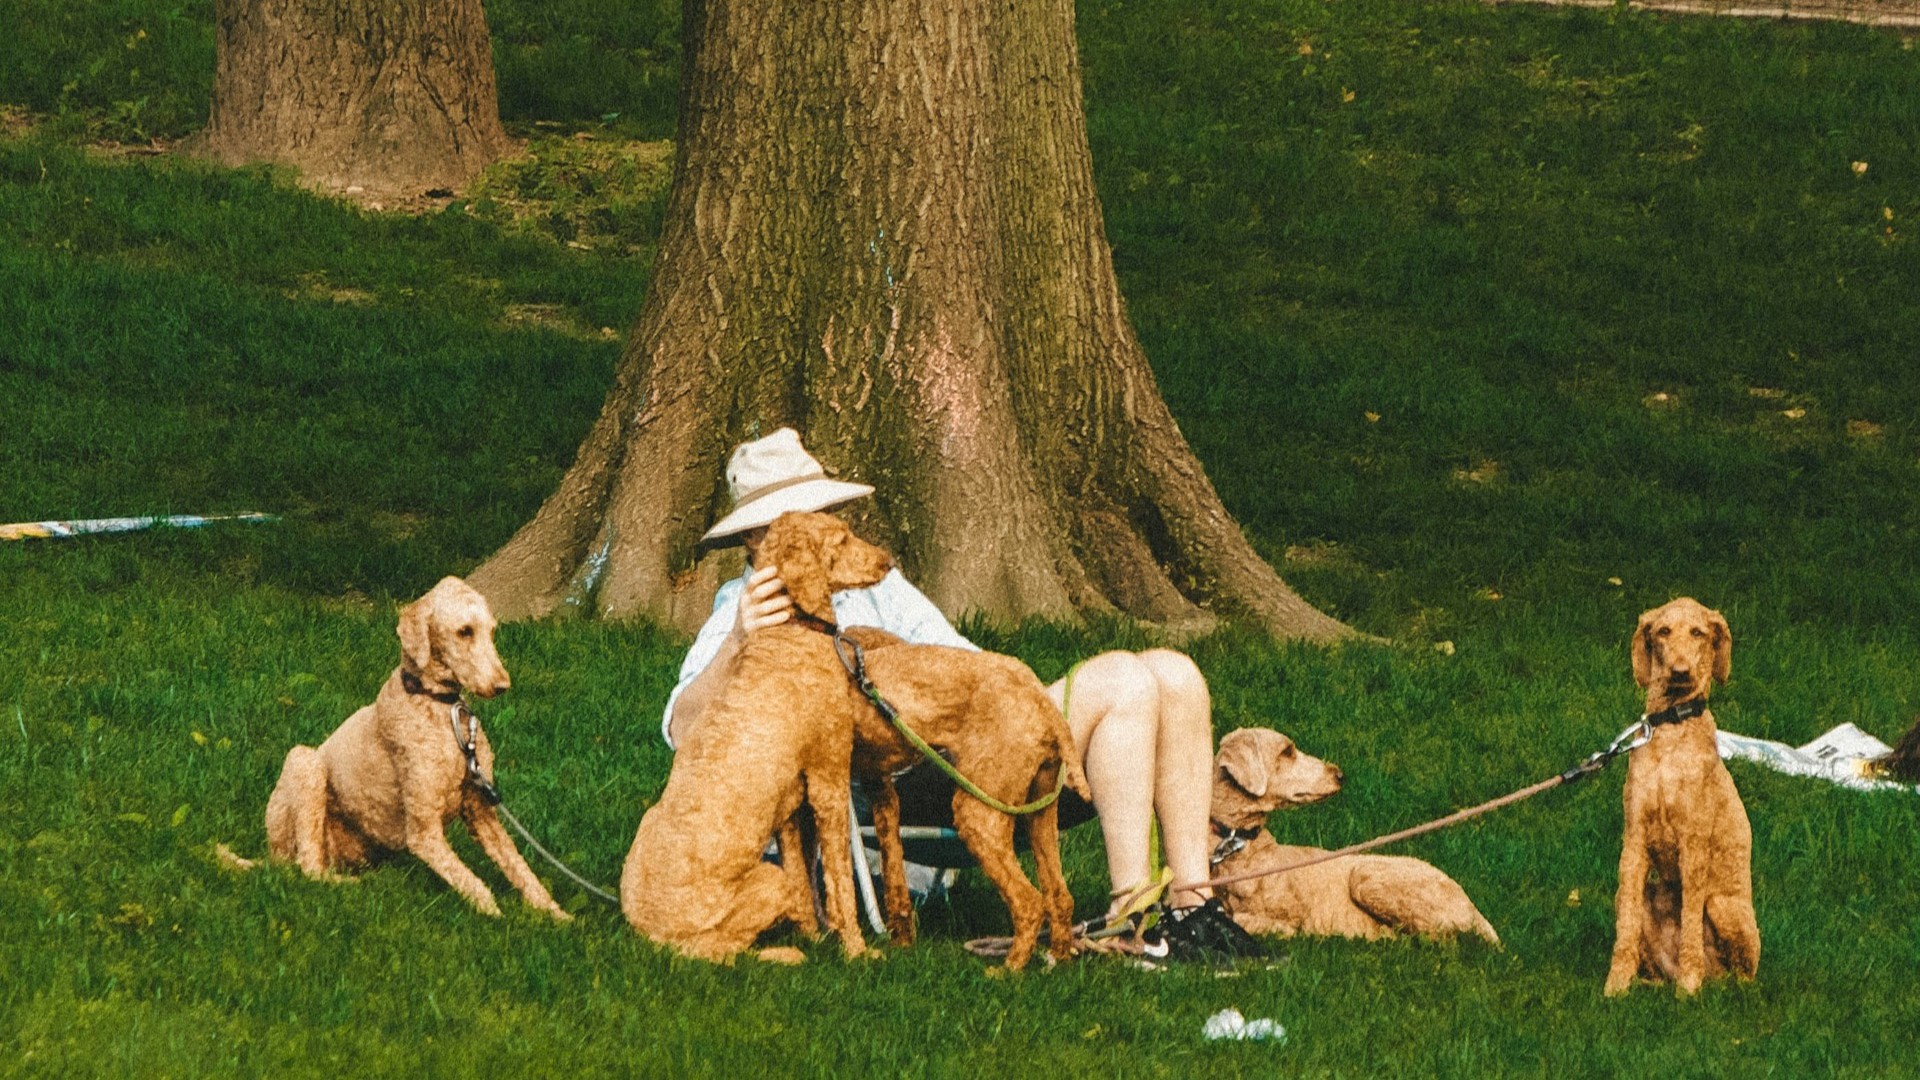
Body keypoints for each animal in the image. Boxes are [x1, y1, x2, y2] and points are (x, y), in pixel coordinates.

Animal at [237, 572, 564, 914]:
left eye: (492, 631)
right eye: (464, 631)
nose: (503, 685)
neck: (438, 708)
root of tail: (271, 858)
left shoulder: (482, 813)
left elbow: (521, 870)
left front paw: (556, 915)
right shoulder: (423, 831)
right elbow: (474, 884)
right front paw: (495, 915)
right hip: (304, 764)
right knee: (310, 869)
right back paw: (350, 886)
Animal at [614, 511, 890, 957]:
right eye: (842, 539)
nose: (888, 561)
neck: (789, 631)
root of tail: (653, 938)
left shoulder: (793, 805)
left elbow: (803, 878)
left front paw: (813, 934)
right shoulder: (829, 780)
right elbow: (840, 882)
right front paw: (856, 949)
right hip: (762, 884)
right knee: (721, 951)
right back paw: (783, 955)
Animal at [748, 507, 1090, 972]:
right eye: (841, 540)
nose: (889, 561)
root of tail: (1042, 701)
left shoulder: (812, 793)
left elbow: (811, 880)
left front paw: (826, 936)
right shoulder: (877, 787)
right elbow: (884, 872)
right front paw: (896, 940)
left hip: (978, 810)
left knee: (1029, 901)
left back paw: (1006, 971)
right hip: (1039, 812)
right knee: (1059, 896)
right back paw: (1058, 961)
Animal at [1213, 722, 1497, 941]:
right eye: (1287, 752)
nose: (1339, 774)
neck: (1239, 848)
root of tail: (1475, 911)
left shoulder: (1293, 914)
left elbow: (1249, 920)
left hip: (1366, 875)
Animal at [1597, 595, 1758, 991]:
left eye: (1698, 632)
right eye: (1663, 631)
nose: (1680, 672)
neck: (1671, 729)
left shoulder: (1693, 845)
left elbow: (1690, 928)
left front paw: (1688, 986)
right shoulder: (1634, 841)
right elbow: (1626, 929)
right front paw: (1616, 985)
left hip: (1722, 906)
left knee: (1741, 974)